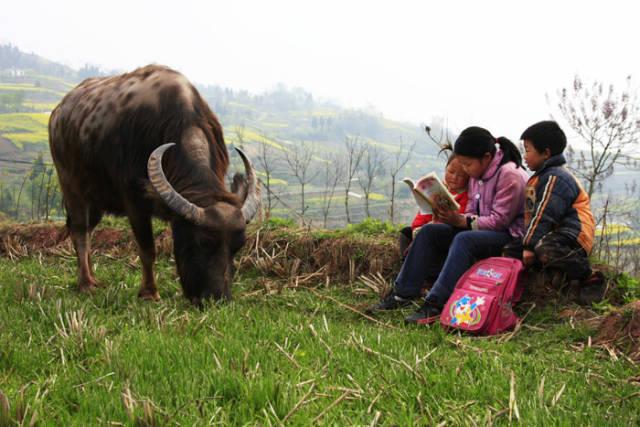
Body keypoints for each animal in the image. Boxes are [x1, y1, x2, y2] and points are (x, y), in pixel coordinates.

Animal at [48, 64, 258, 304]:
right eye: (202, 242)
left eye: (237, 246)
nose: (218, 299)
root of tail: (58, 113)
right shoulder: (134, 202)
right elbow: (148, 249)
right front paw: (149, 292)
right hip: (71, 187)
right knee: (79, 230)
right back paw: (85, 283)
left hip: (97, 199)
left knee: (88, 230)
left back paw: (92, 276)